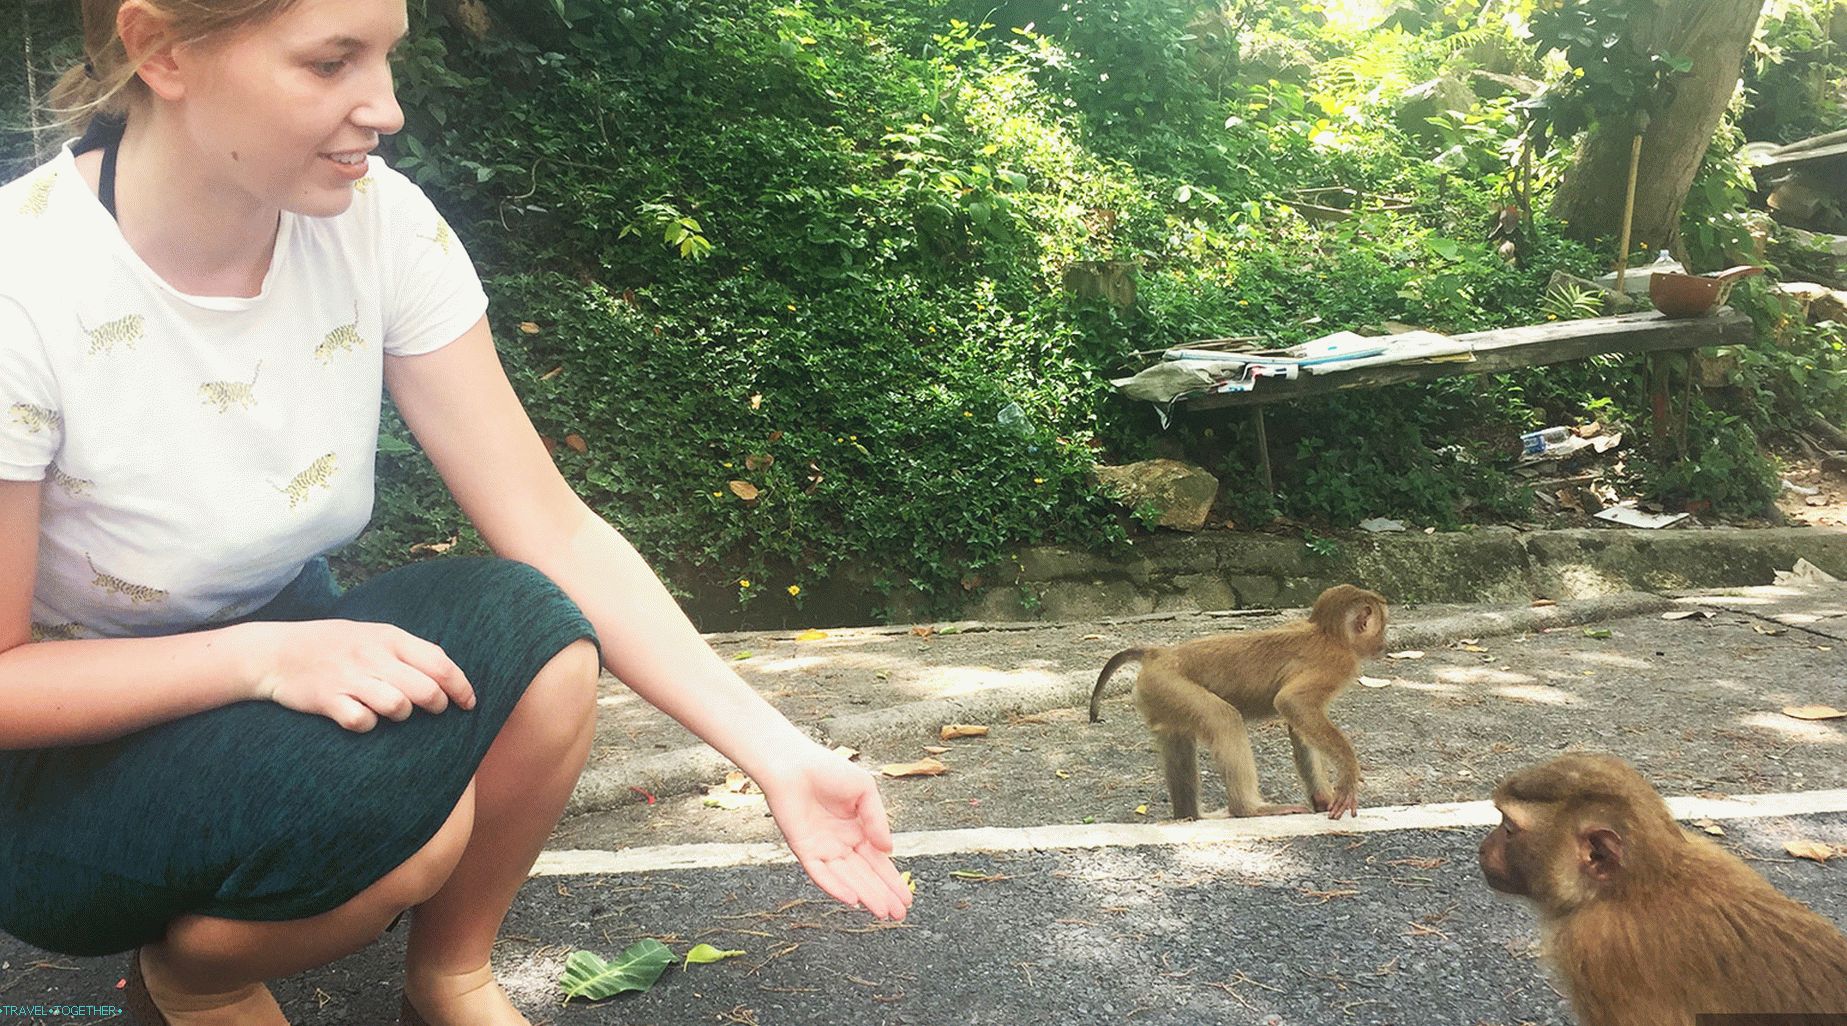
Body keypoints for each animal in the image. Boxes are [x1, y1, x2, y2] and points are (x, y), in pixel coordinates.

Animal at [1089, 584, 1386, 821]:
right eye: (1382, 626)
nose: (1383, 644)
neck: (1329, 634)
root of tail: (1157, 654)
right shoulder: (1337, 664)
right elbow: (1292, 703)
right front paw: (1348, 776)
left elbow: (1298, 726)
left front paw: (1323, 798)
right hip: (1169, 685)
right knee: (1224, 719)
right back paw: (1249, 809)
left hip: (1160, 694)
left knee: (1179, 737)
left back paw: (1189, 816)